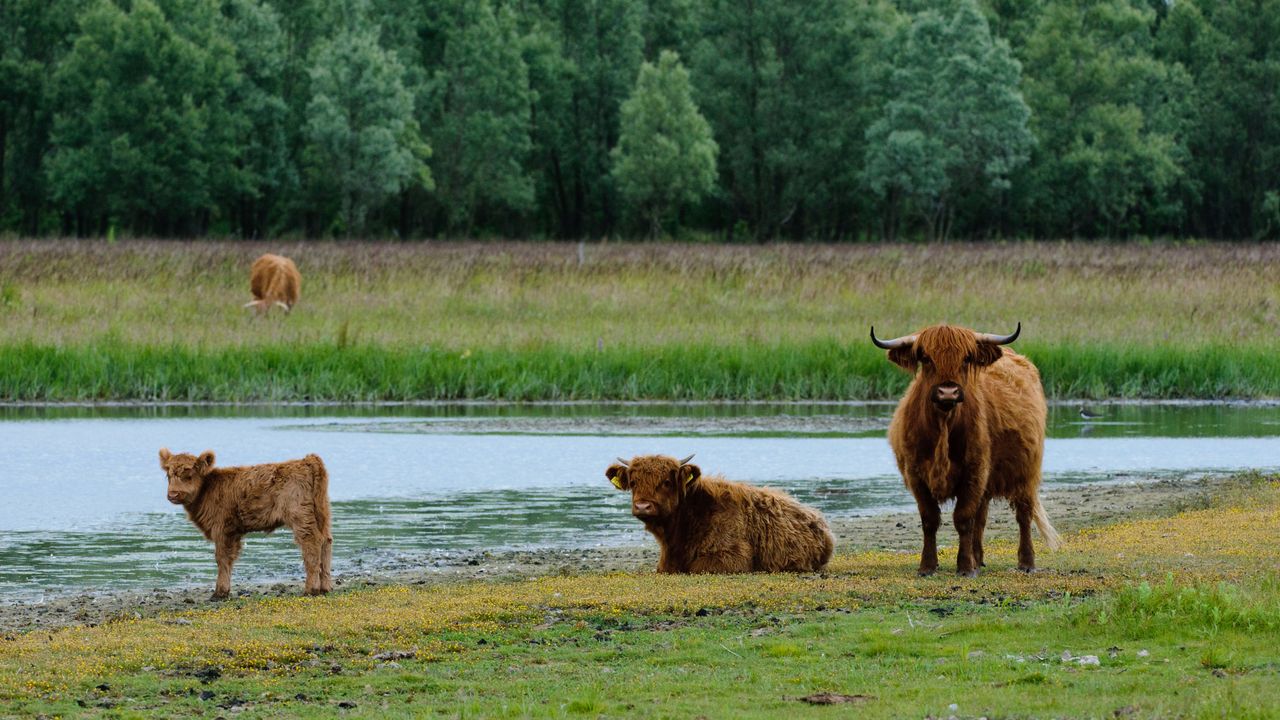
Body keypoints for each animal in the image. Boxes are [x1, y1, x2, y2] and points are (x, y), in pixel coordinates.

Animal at [158, 449, 333, 599]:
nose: (173, 494)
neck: (208, 490)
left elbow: (222, 558)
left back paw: (311, 589)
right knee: (326, 541)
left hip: (300, 516)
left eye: (189, 475)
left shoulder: (223, 529)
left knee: (311, 544)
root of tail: (306, 461)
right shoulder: (233, 532)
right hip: (322, 513)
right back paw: (325, 587)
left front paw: (220, 592)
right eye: (168, 475)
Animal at [871, 322, 1060, 577]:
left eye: (966, 358)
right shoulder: (916, 474)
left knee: (1023, 514)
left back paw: (1026, 563)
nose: (948, 392)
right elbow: (930, 519)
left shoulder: (974, 471)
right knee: (981, 517)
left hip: (1026, 470)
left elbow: (963, 518)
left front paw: (965, 567)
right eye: (926, 358)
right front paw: (928, 566)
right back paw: (978, 558)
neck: (944, 425)